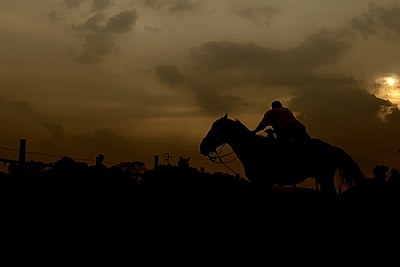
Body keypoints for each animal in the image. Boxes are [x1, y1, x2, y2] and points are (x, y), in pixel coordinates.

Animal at [200, 114, 366, 195]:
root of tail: (333, 148)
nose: (202, 147)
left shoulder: (262, 182)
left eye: (216, 129)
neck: (254, 148)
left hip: (324, 176)